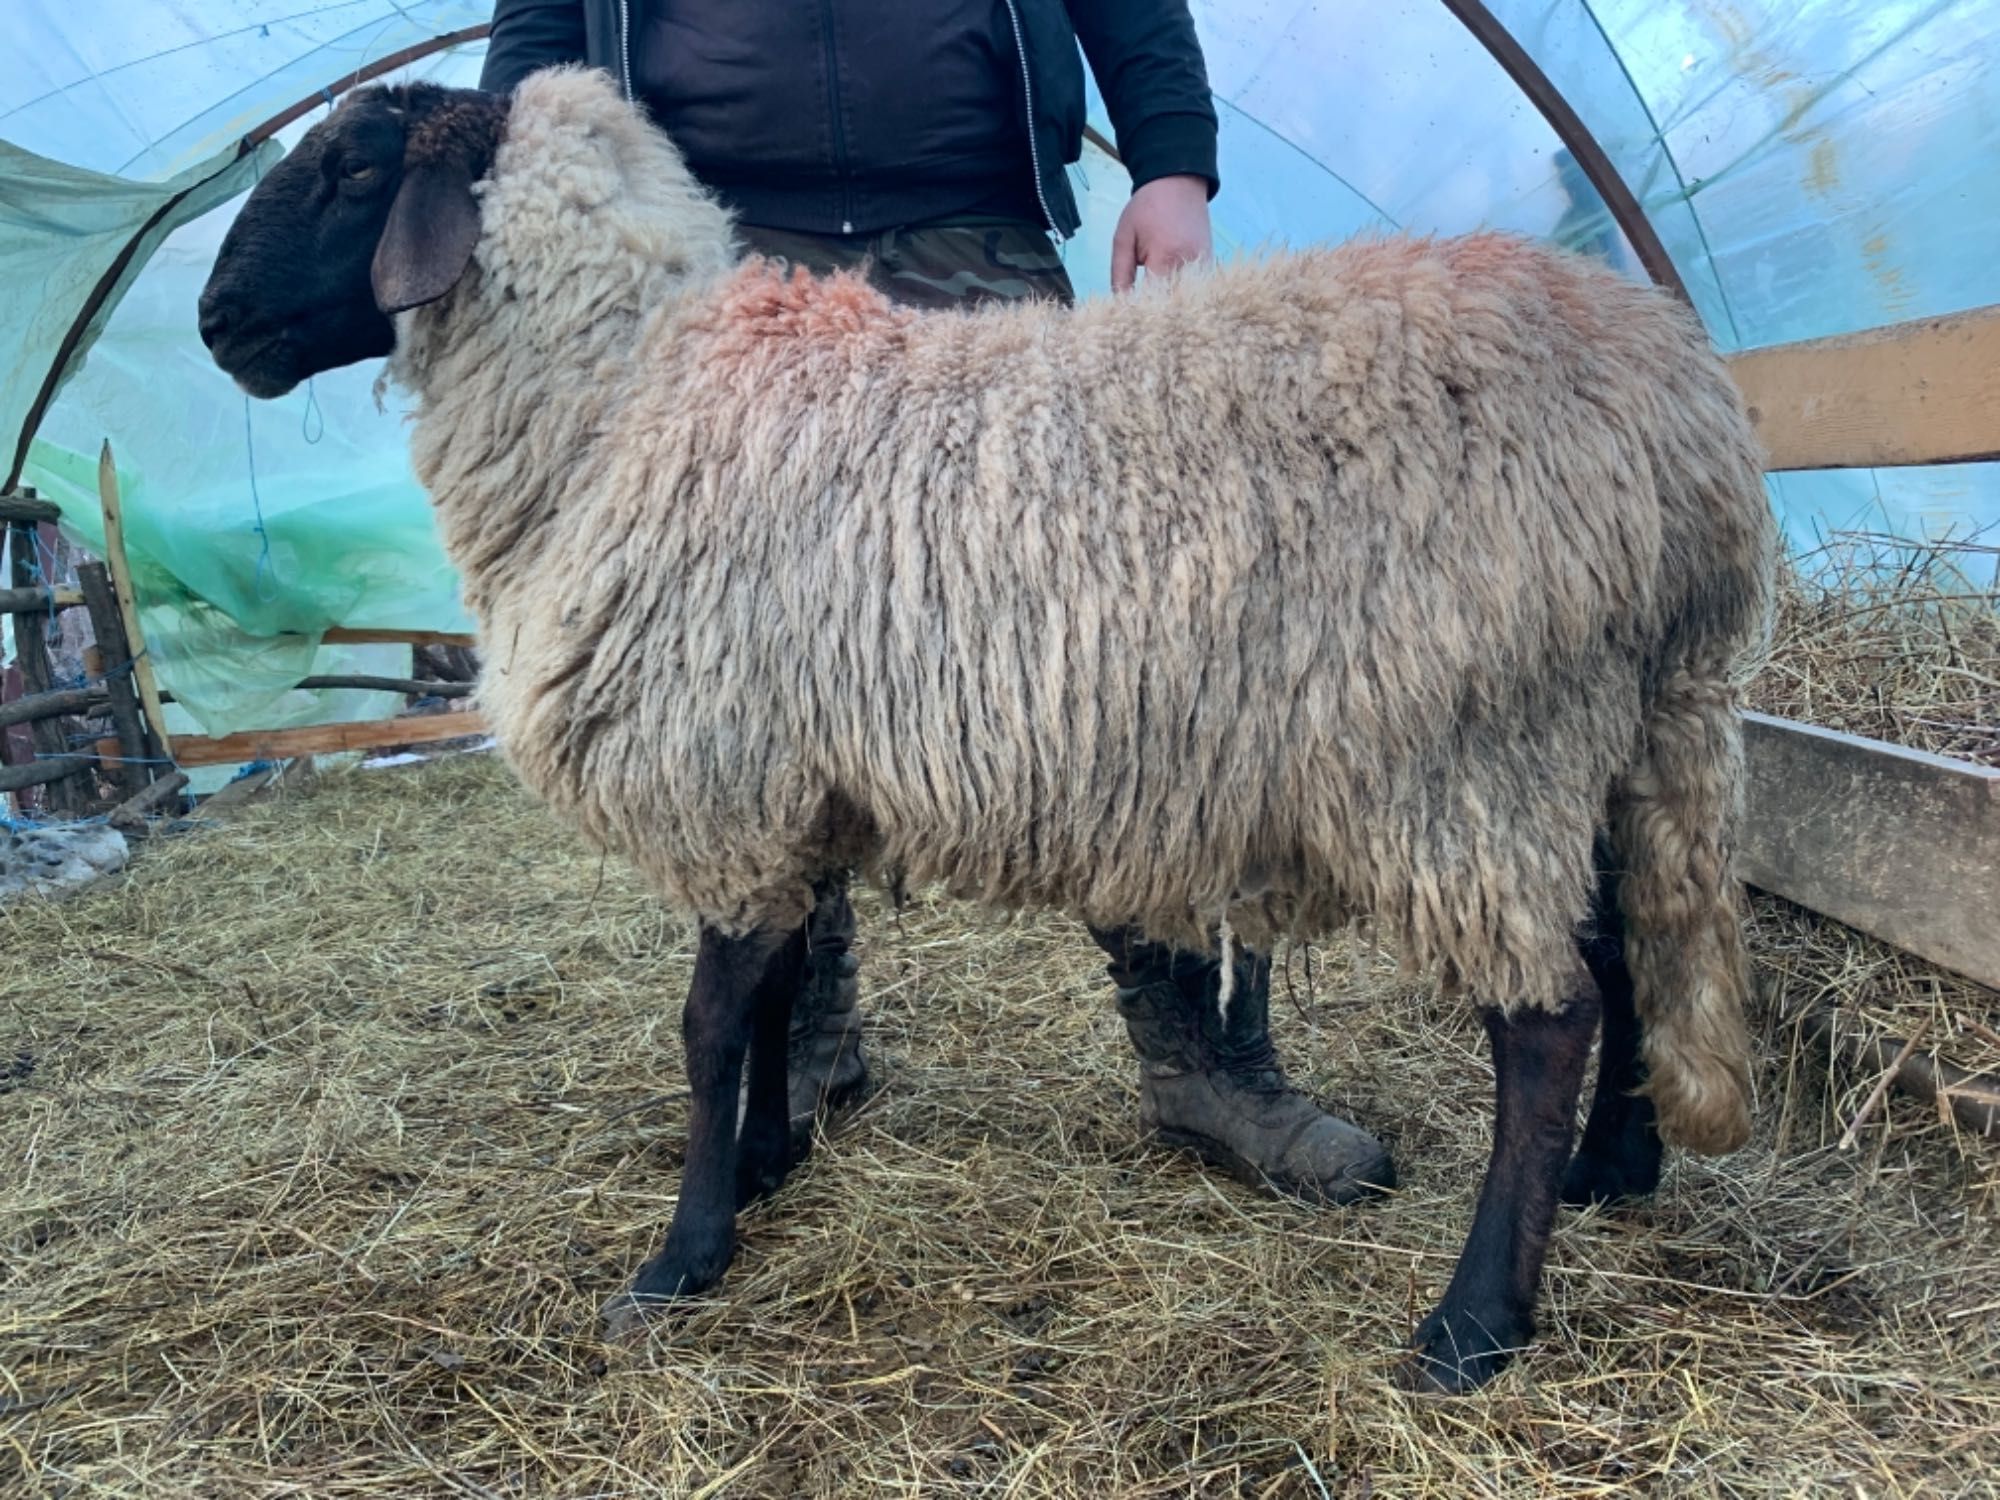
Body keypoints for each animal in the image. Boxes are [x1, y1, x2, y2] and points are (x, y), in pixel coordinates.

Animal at [195, 61, 1776, 1400]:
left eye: (348, 166)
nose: (213, 326)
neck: (631, 392)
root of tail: (1687, 426)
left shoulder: (724, 770)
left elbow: (705, 1025)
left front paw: (681, 1257)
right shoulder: (791, 788)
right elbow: (777, 994)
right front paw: (769, 1163)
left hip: (1461, 752)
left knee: (1547, 1021)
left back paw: (1473, 1323)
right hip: (1595, 739)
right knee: (1627, 950)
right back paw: (1614, 1170)